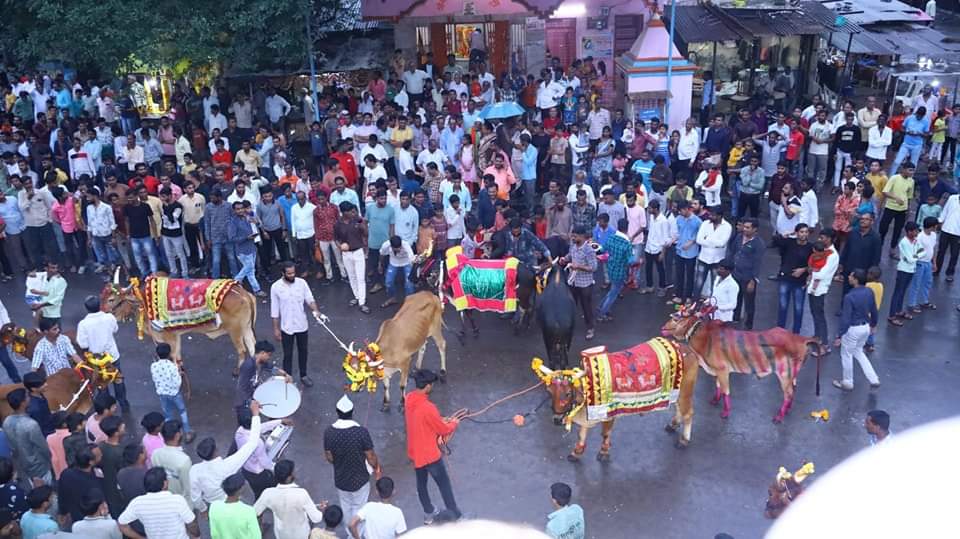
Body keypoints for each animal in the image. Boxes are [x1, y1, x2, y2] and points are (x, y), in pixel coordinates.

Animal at [100, 270, 256, 376]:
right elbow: (178, 355)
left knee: (242, 350)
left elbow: (174, 356)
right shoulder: (175, 336)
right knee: (252, 346)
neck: (143, 301)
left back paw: (237, 371)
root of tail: (244, 294)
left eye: (112, 299)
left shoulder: (169, 337)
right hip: (246, 328)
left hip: (235, 331)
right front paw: (181, 369)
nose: (100, 311)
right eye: (102, 296)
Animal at [532, 338, 696, 460]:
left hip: (685, 391)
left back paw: (684, 440)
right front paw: (577, 452)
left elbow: (605, 433)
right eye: (549, 392)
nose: (557, 420)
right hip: (676, 392)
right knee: (678, 408)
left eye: (567, 393)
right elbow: (581, 434)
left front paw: (604, 452)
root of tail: (686, 349)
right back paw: (673, 424)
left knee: (688, 413)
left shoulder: (609, 413)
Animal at [660, 302, 816, 424]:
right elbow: (718, 387)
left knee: (788, 394)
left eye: (676, 317)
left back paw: (779, 416)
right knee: (793, 390)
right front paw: (715, 400)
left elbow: (726, 391)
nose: (662, 328)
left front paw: (725, 412)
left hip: (784, 374)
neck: (704, 337)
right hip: (792, 375)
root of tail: (801, 339)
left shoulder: (722, 370)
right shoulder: (717, 370)